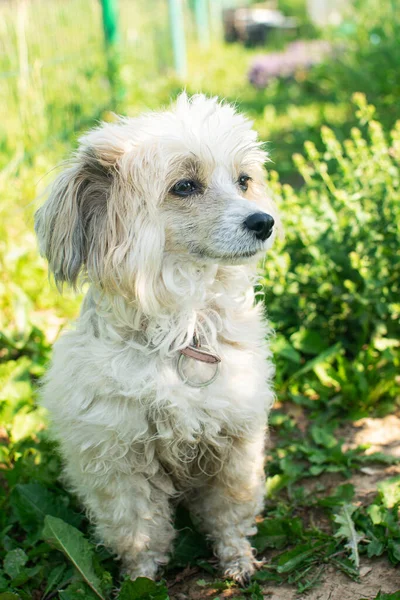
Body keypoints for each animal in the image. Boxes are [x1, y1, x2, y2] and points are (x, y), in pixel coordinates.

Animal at [35, 94, 276, 584]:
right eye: (184, 186)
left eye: (243, 181)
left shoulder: (236, 444)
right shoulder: (118, 462)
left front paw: (238, 559)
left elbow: (229, 511)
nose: (265, 222)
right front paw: (141, 581)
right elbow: (139, 531)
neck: (183, 329)